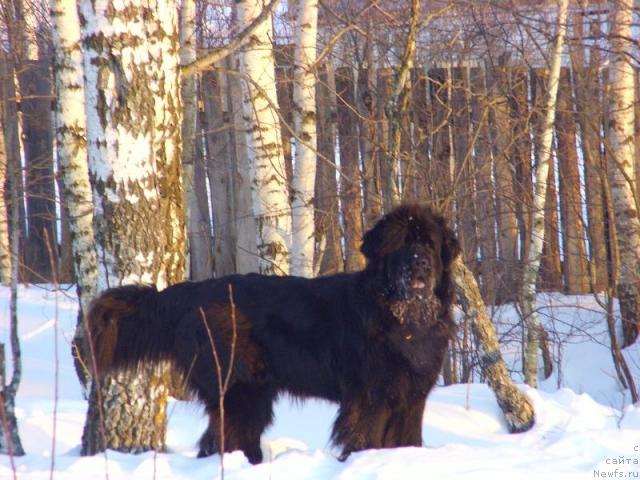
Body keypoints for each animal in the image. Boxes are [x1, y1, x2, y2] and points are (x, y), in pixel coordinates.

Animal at [89, 204, 460, 464]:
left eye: (429, 244)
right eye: (400, 245)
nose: (419, 263)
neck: (402, 319)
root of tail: (191, 293)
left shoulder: (412, 395)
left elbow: (406, 437)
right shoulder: (369, 395)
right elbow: (366, 437)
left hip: (250, 390)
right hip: (238, 386)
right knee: (230, 434)